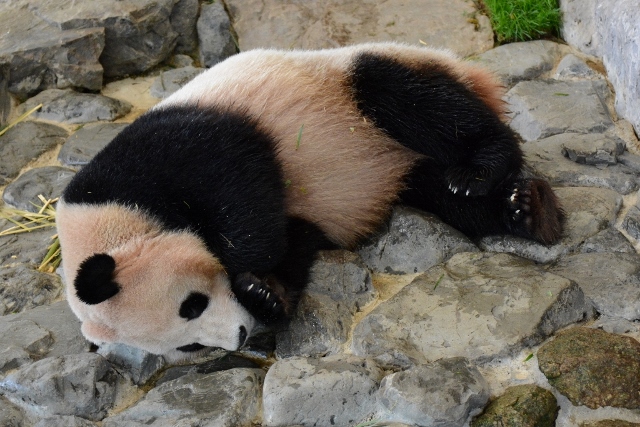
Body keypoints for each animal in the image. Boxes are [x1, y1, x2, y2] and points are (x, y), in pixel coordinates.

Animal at [57, 42, 564, 362]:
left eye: (191, 306)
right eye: (190, 347)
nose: (238, 337)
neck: (119, 213)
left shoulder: (181, 145)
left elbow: (242, 190)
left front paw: (249, 274)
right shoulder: (302, 220)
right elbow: (295, 243)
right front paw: (266, 295)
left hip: (357, 80)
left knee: (416, 102)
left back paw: (481, 172)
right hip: (408, 175)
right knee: (439, 191)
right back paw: (525, 210)